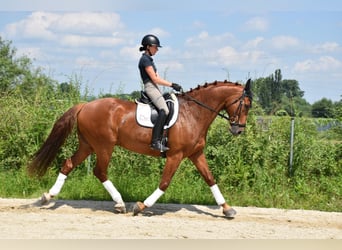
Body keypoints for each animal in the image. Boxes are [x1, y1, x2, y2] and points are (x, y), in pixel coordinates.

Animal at [28, 79, 252, 217]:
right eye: (247, 104)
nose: (238, 130)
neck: (194, 113)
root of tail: (85, 105)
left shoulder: (196, 154)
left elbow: (210, 179)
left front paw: (227, 209)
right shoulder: (176, 155)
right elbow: (164, 183)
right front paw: (141, 206)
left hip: (88, 145)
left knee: (68, 164)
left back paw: (47, 196)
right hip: (104, 146)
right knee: (100, 171)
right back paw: (120, 204)